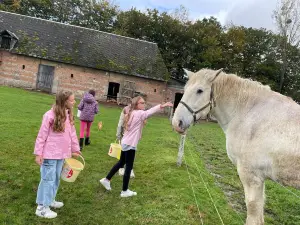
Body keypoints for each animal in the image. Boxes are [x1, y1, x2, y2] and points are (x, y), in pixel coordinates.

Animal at [172, 68, 300, 225]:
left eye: (199, 90)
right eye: (185, 89)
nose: (176, 123)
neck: (248, 113)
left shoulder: (251, 176)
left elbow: (253, 215)